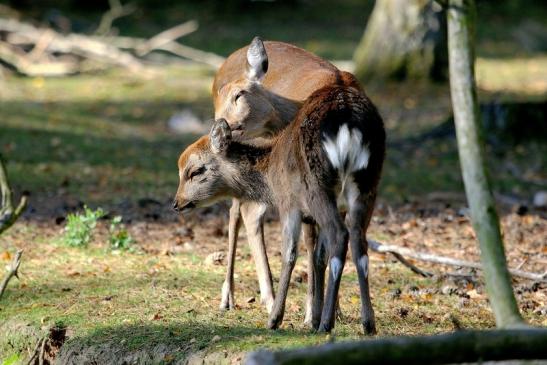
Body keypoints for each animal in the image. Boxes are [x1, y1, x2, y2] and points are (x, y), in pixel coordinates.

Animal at [174, 82, 386, 332]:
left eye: (195, 171)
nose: (177, 202)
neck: (270, 171)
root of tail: (348, 122)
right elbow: (319, 256)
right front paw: (312, 318)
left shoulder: (288, 204)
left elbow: (290, 253)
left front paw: (276, 318)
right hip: (368, 185)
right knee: (358, 243)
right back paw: (367, 323)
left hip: (318, 188)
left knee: (339, 235)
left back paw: (326, 324)